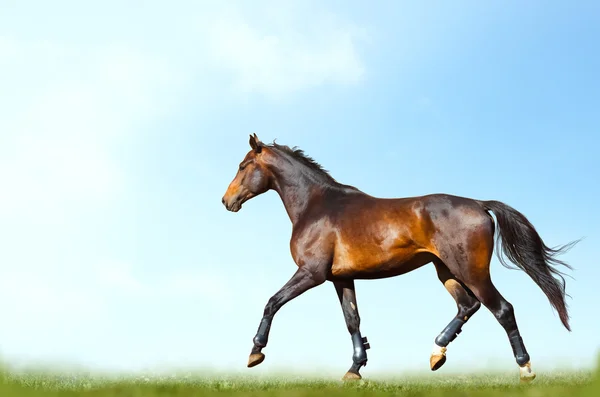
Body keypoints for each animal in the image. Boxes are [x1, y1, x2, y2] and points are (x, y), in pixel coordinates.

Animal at [221, 133, 576, 380]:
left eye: (242, 166)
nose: (227, 201)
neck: (317, 206)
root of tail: (479, 204)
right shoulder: (340, 278)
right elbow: (352, 320)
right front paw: (355, 370)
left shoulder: (312, 273)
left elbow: (272, 302)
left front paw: (255, 352)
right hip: (446, 270)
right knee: (467, 306)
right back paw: (436, 354)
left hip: (470, 271)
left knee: (502, 309)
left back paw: (525, 369)